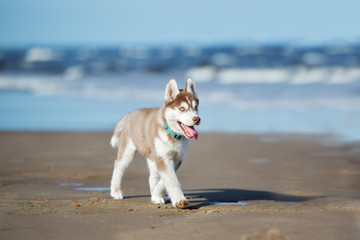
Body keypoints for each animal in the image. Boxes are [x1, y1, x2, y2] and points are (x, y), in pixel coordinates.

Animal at [109, 77, 200, 208]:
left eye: (195, 107)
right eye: (182, 109)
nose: (197, 119)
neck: (173, 135)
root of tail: (130, 114)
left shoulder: (176, 158)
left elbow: (164, 181)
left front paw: (157, 194)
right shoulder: (163, 158)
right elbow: (171, 180)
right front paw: (180, 200)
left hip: (152, 156)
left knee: (153, 176)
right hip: (128, 152)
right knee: (118, 167)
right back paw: (116, 191)